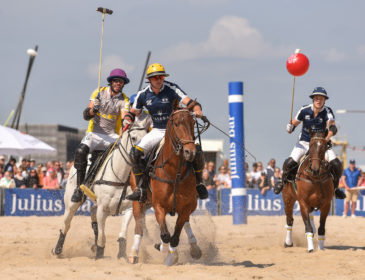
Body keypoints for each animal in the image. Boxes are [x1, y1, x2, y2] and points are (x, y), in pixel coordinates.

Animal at [128, 102, 202, 264]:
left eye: (193, 123)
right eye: (176, 123)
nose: (190, 152)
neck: (175, 172)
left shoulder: (186, 207)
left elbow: (174, 237)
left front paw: (171, 256)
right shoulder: (159, 206)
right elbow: (165, 235)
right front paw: (161, 248)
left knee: (185, 225)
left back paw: (194, 248)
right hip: (139, 200)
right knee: (139, 225)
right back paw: (133, 253)